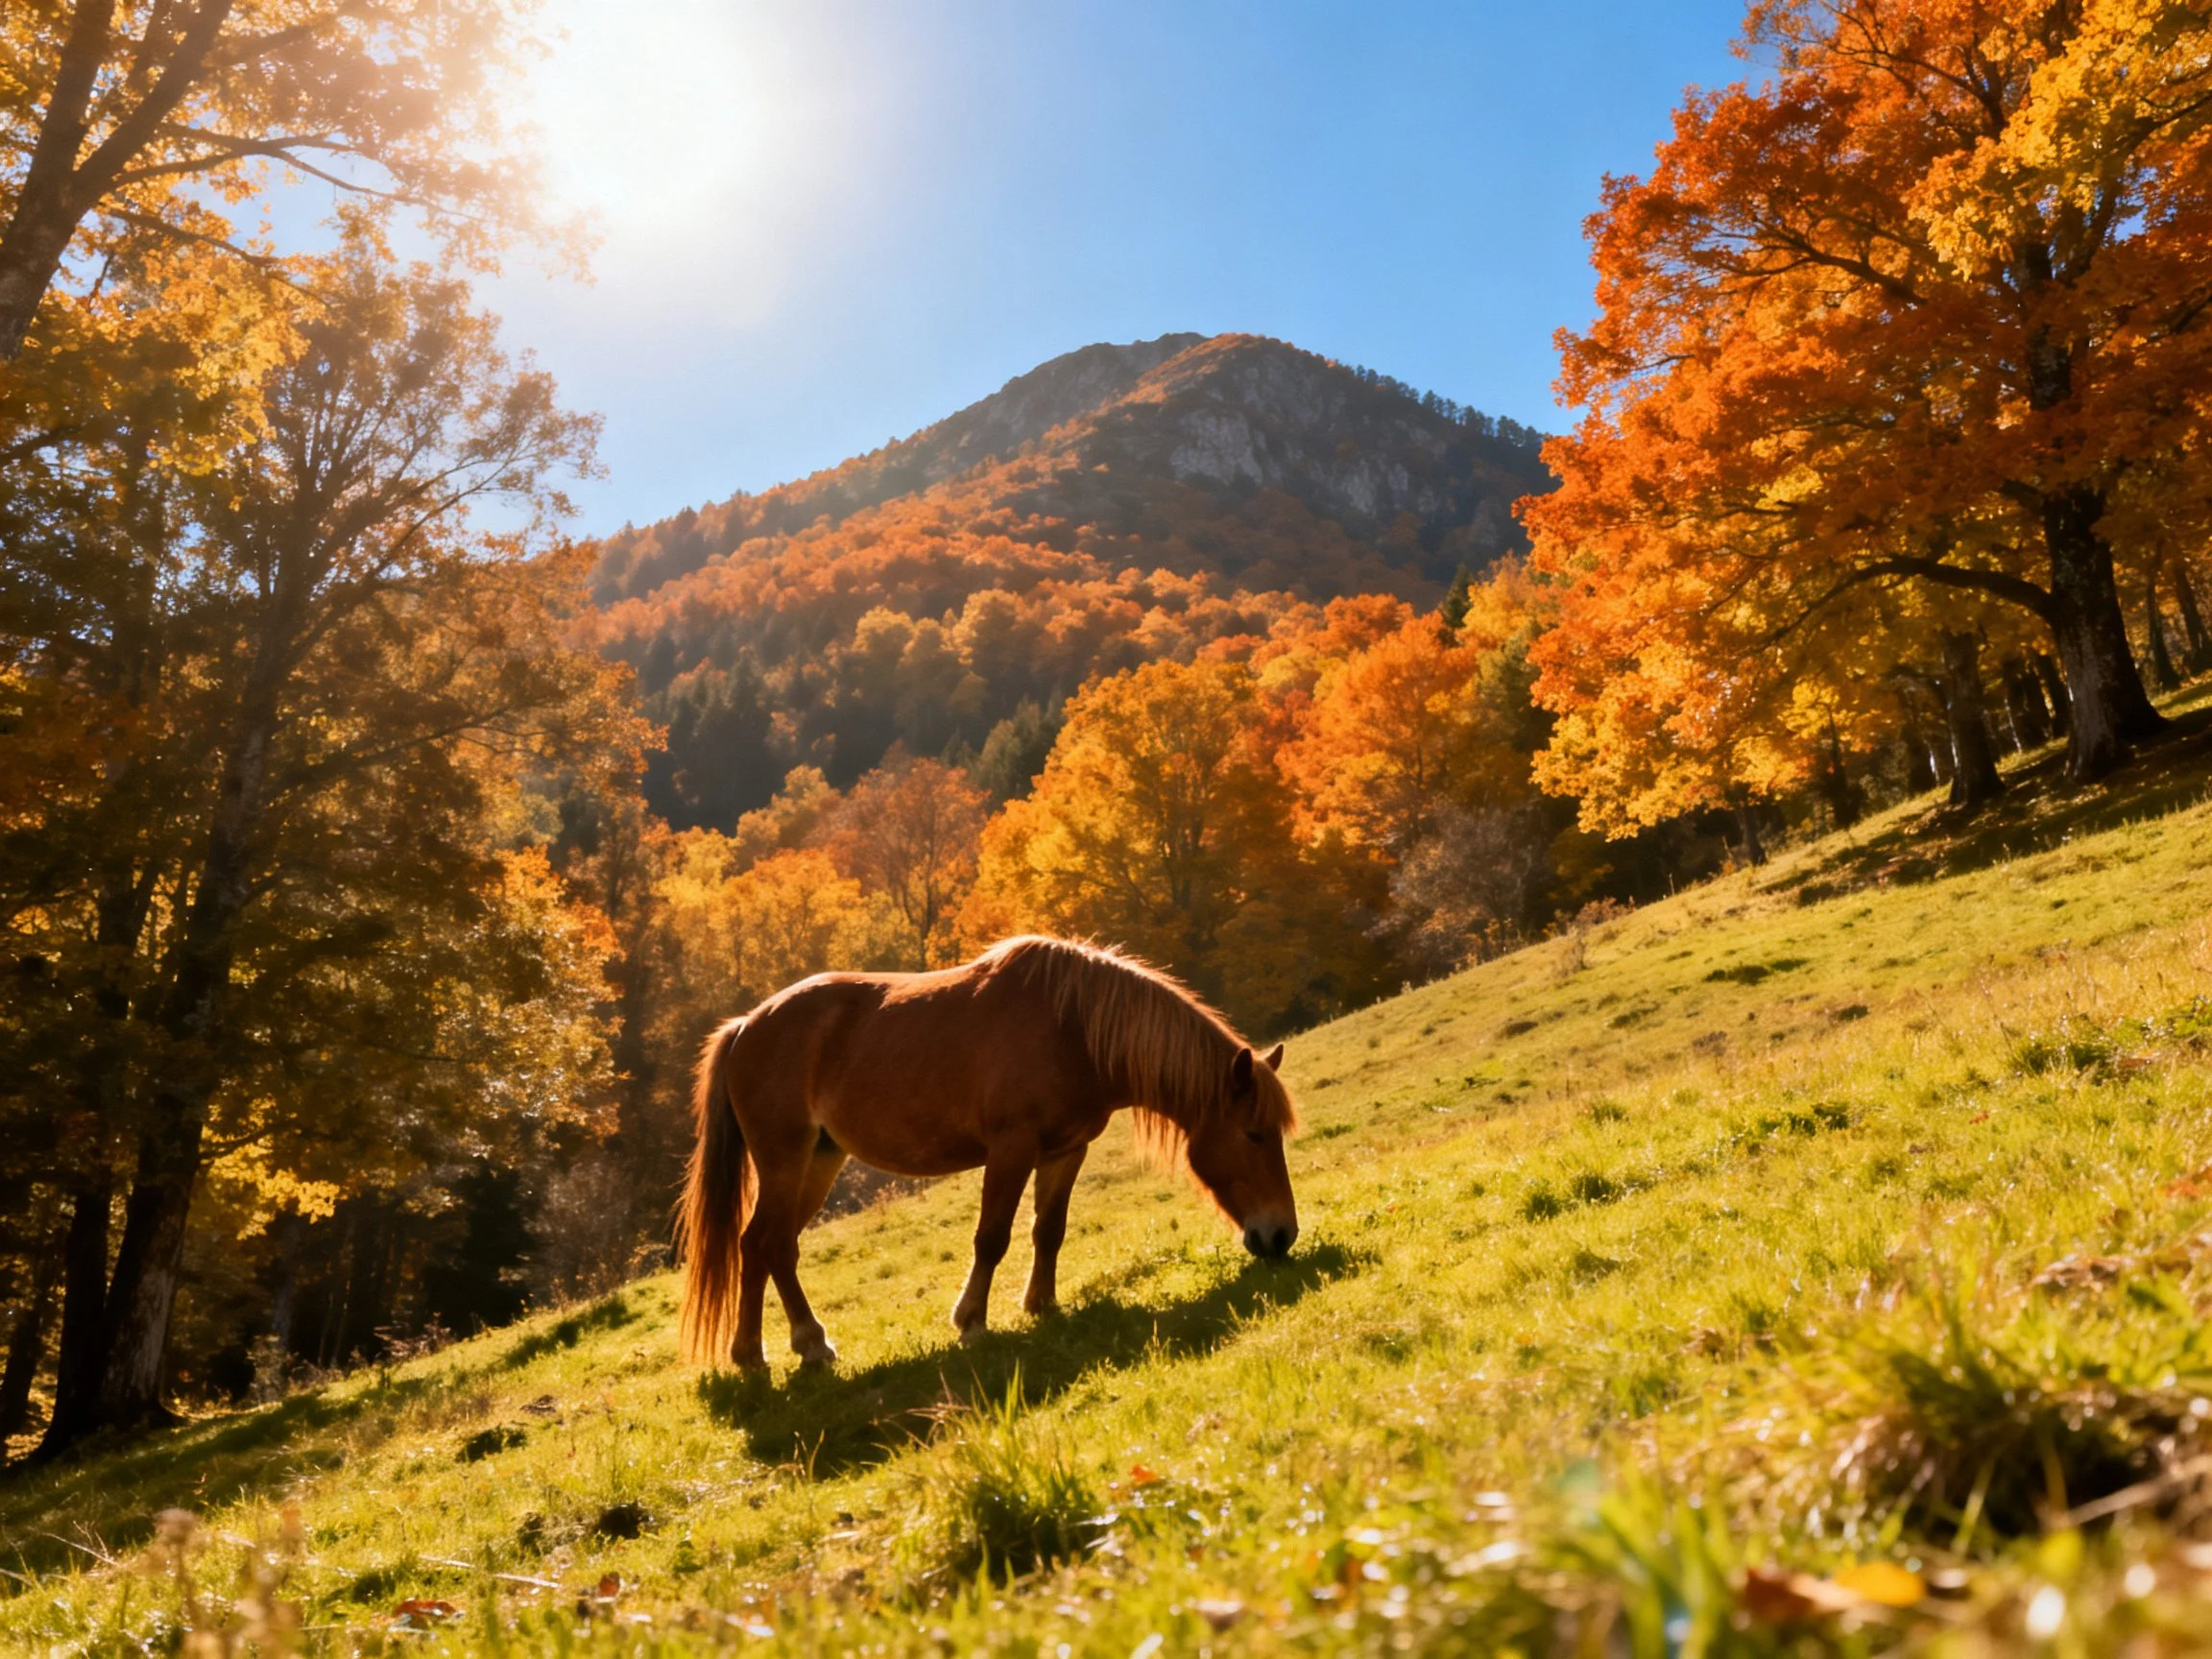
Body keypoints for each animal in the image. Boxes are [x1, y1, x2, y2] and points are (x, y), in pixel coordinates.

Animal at [676, 934, 1301, 1371]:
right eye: (1254, 1134)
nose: (1280, 1236)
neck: (1073, 1027)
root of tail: (745, 1026)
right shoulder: (1011, 1149)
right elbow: (992, 1237)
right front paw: (972, 1321)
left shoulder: (1066, 1151)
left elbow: (1049, 1230)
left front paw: (1042, 1305)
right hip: (786, 1160)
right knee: (772, 1245)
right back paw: (808, 1344)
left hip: (819, 1162)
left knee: (760, 1245)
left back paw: (753, 1352)